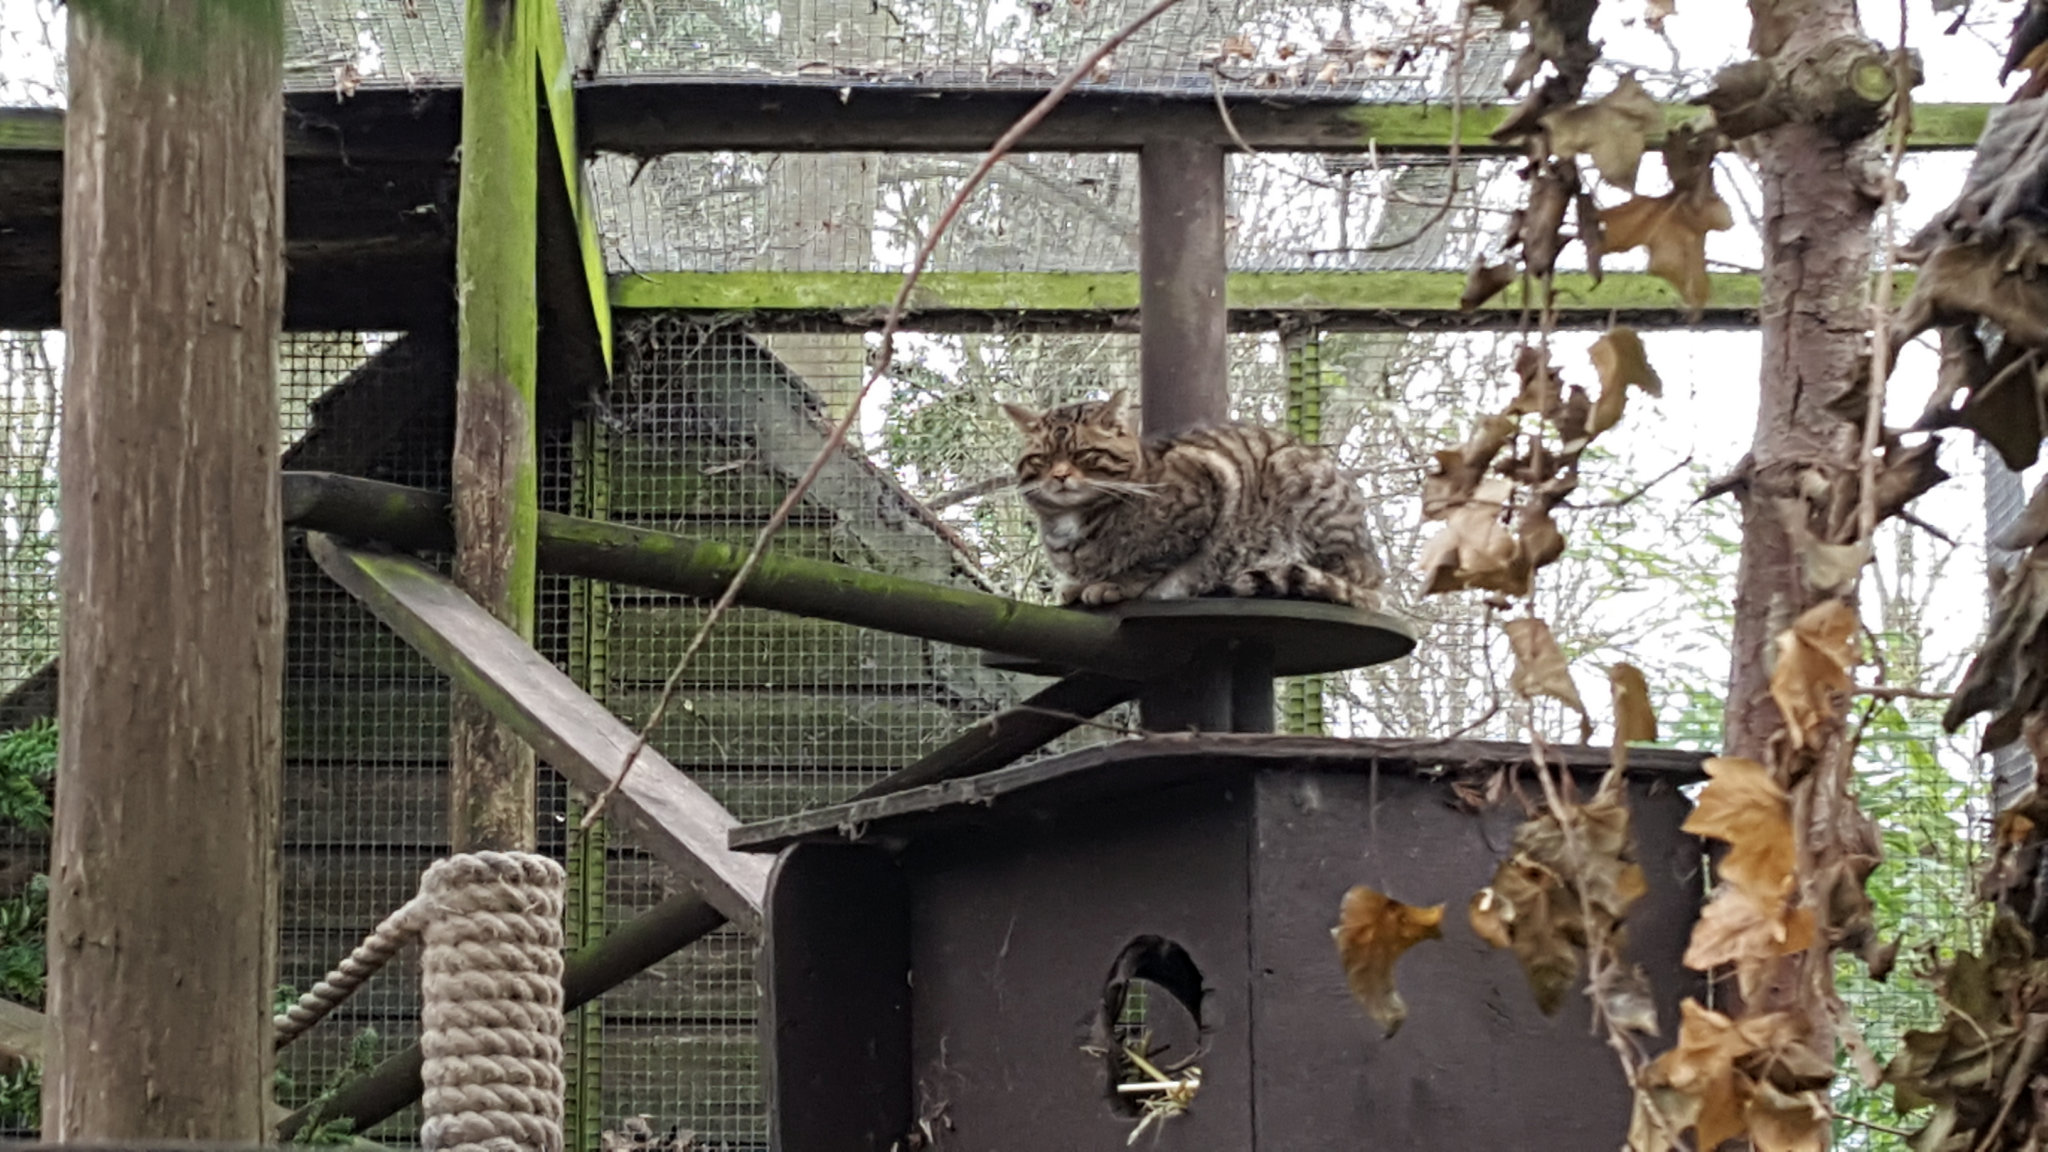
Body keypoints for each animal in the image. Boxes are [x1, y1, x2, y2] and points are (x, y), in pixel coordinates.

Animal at [999, 387, 1384, 610]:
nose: (1060, 475)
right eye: (1043, 459)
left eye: (1083, 454)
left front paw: (1111, 584)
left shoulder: (1207, 488)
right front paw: (1077, 584)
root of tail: (1378, 572)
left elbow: (1152, 561)